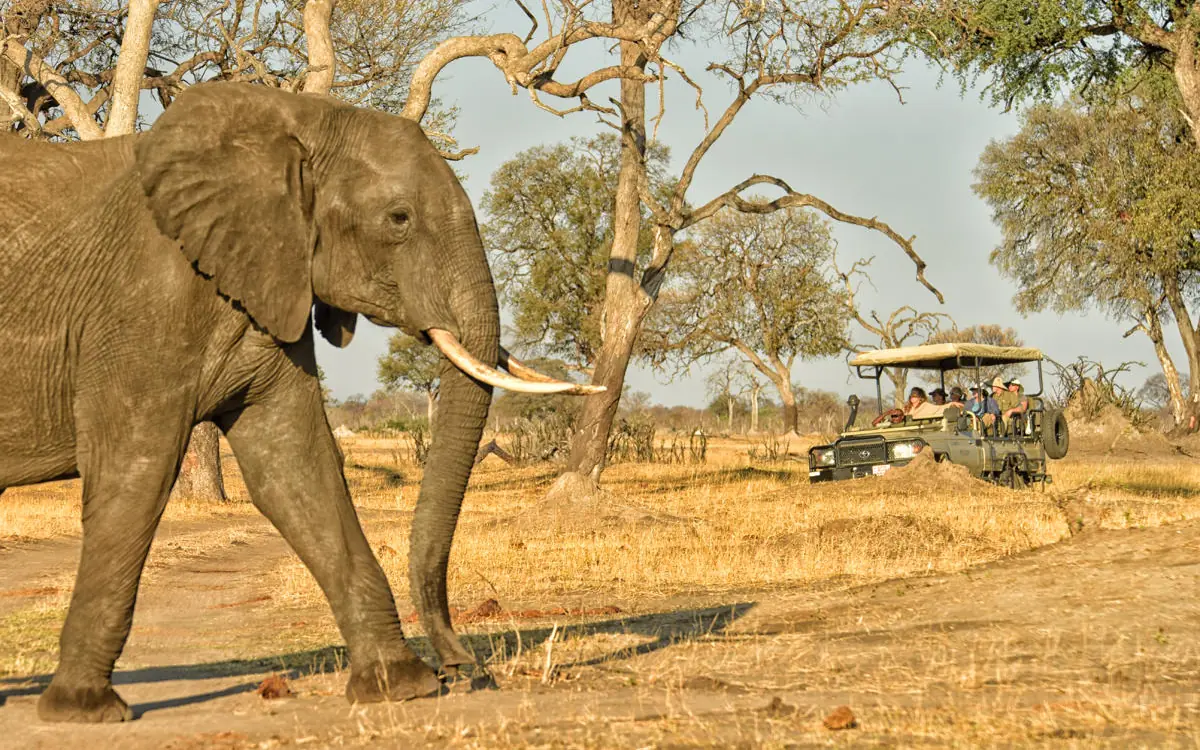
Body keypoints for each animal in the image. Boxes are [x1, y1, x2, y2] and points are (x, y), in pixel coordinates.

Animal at [0, 81, 598, 723]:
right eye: (399, 219)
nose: (463, 668)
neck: (292, 120)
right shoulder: (143, 300)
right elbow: (135, 471)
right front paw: (84, 710)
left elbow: (295, 468)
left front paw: (400, 686)